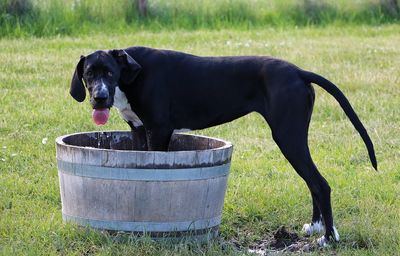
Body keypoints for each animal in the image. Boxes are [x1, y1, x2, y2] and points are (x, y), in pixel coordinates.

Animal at [70, 46, 376, 246]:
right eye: (89, 74)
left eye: (109, 73)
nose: (99, 98)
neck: (131, 74)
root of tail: (299, 72)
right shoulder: (138, 131)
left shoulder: (159, 131)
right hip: (295, 137)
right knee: (312, 182)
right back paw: (315, 227)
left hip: (288, 136)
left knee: (320, 183)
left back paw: (328, 238)